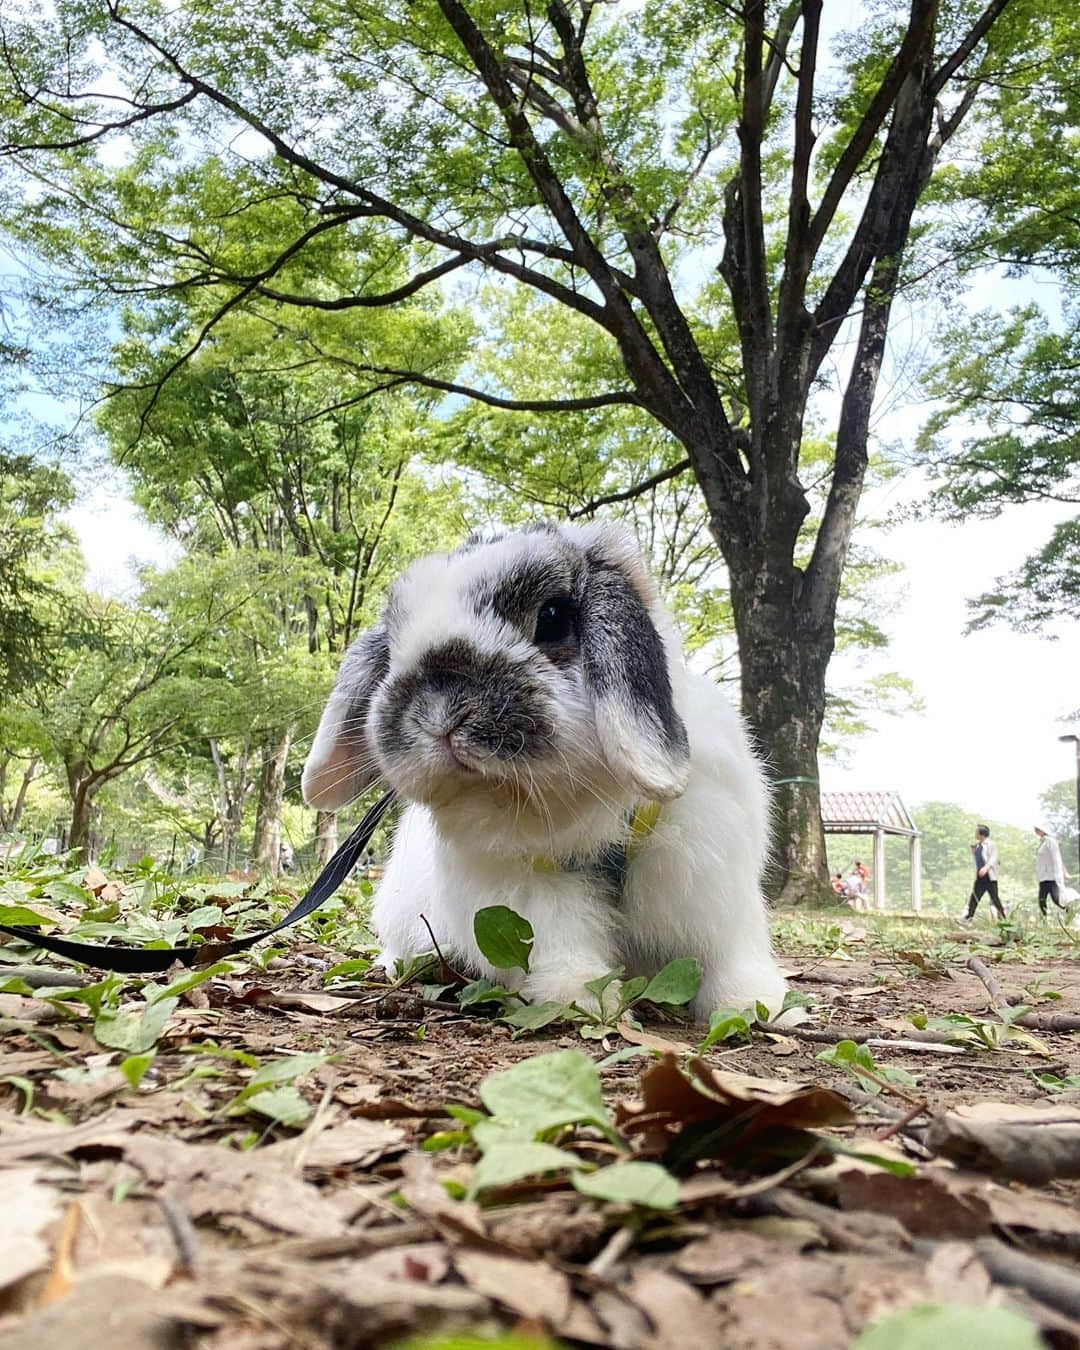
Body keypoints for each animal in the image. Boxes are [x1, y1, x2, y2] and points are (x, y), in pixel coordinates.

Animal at [299, 521, 788, 1015]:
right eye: (394, 649)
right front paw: (578, 995)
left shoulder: (712, 879)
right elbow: (561, 941)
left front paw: (753, 1003)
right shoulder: (529, 887)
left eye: (552, 618)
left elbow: (728, 952)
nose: (439, 713)